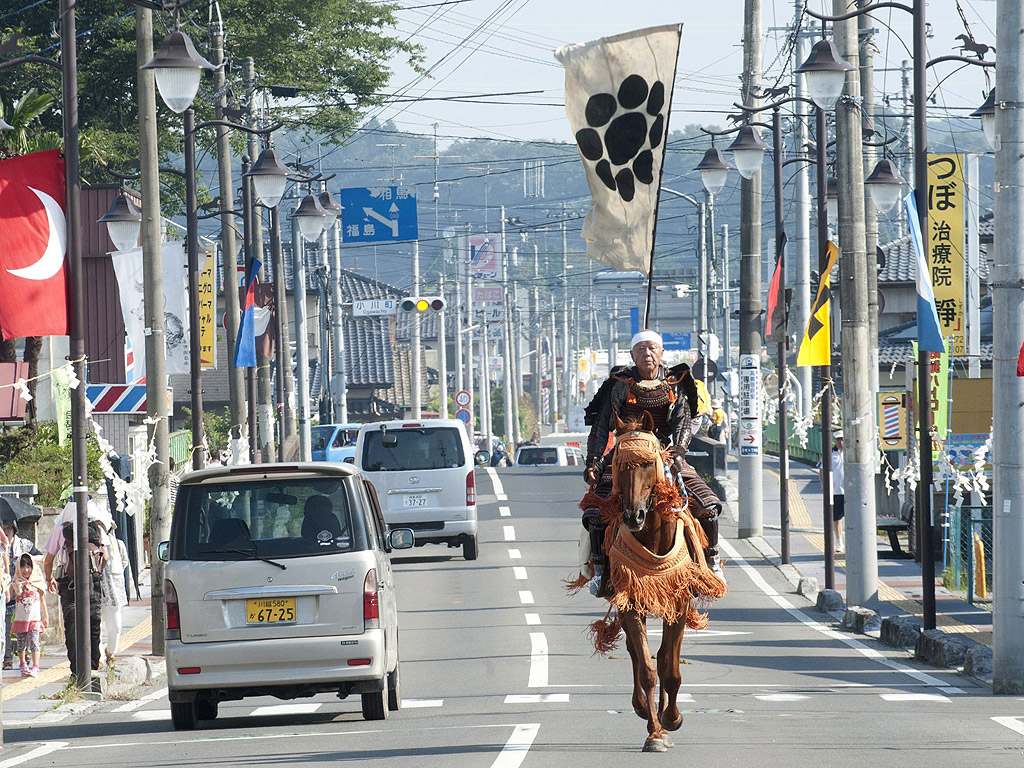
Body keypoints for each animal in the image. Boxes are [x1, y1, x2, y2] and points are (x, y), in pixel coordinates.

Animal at [593, 411, 729, 753]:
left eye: (648, 463)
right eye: (617, 463)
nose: (633, 516)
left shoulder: (678, 601)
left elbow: (670, 667)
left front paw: (672, 719)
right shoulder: (630, 602)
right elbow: (647, 668)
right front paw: (654, 732)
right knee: (634, 652)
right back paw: (644, 709)